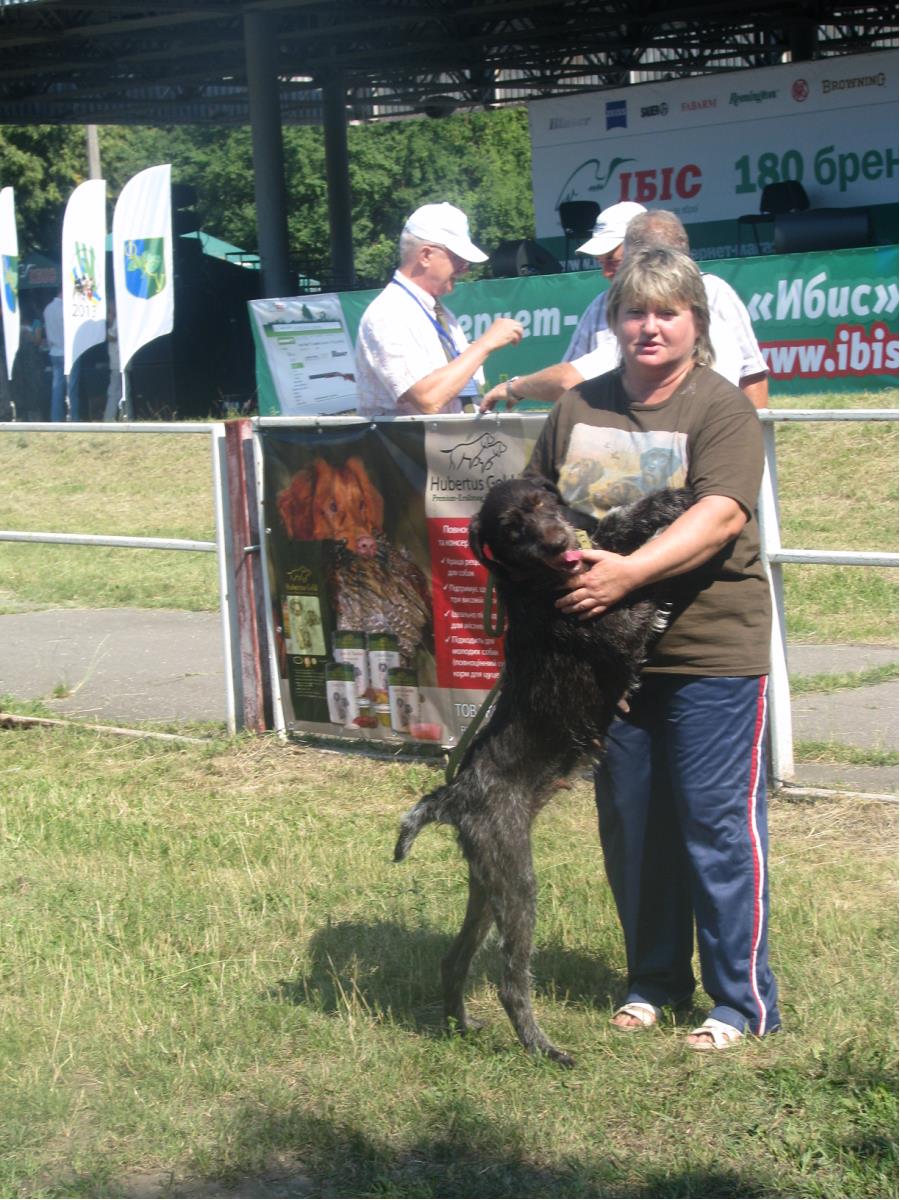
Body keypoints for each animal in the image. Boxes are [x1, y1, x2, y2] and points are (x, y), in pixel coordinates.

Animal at [394, 475, 694, 1067]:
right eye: (513, 529)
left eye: (541, 505)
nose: (559, 543)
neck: (538, 583)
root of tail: (452, 795)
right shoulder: (621, 626)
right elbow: (640, 580)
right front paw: (664, 544)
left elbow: (615, 534)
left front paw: (663, 504)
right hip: (517, 885)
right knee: (513, 981)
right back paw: (542, 1048)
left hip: (486, 887)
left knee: (453, 959)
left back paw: (461, 1025)